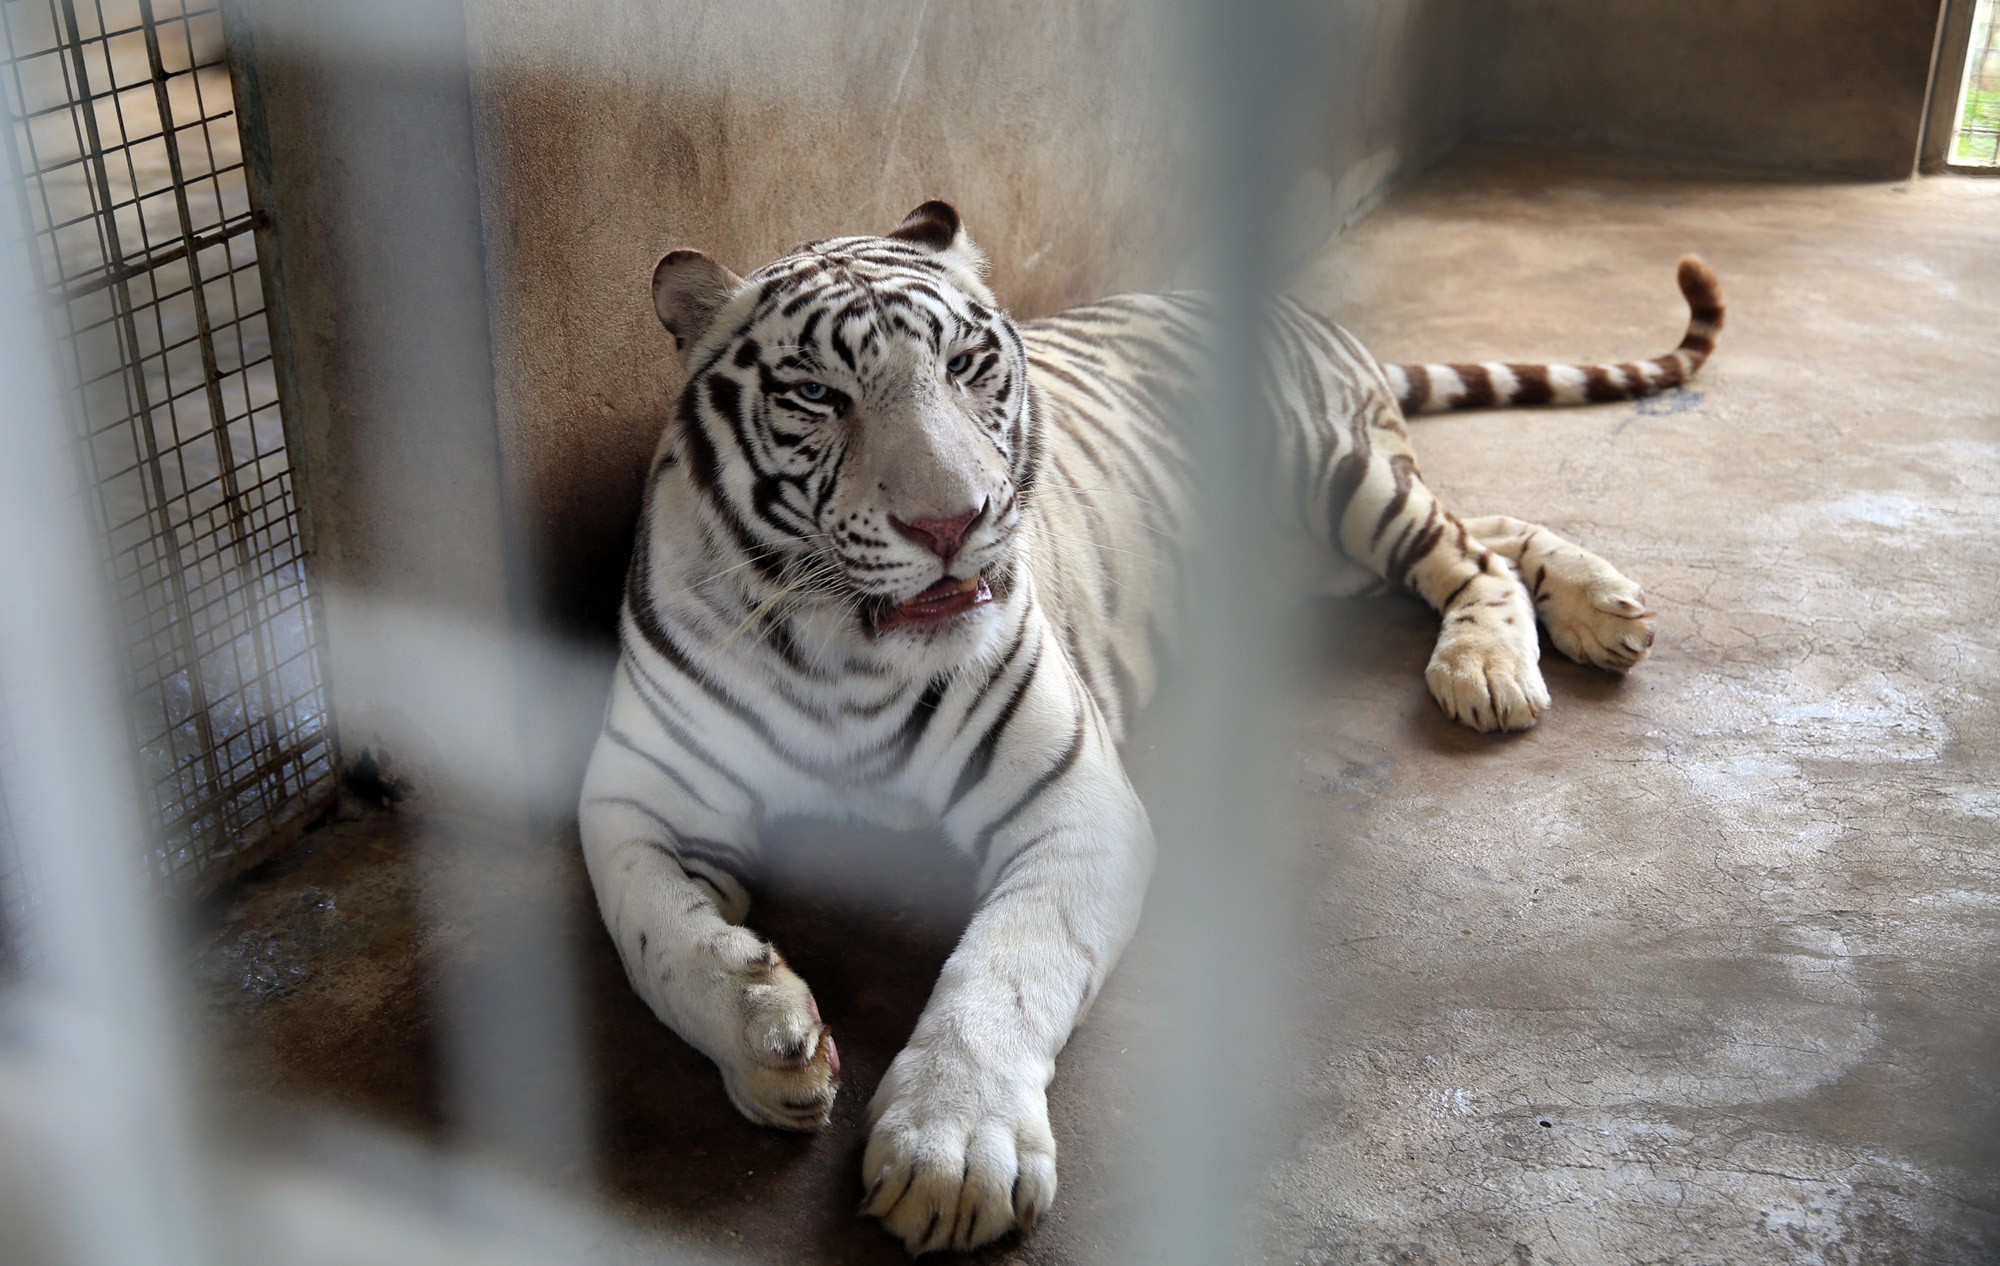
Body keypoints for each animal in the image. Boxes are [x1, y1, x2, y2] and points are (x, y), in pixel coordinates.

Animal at [580, 202, 1720, 1248]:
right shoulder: (636, 800)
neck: (841, 652)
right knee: (1488, 528)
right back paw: (1602, 608)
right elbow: (653, 937)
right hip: (1333, 553)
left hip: (1342, 477)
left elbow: (1005, 971)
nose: (954, 522)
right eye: (817, 395)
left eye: (965, 366)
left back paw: (1499, 663)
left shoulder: (1070, 803)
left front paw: (953, 1151)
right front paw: (769, 1043)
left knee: (1468, 552)